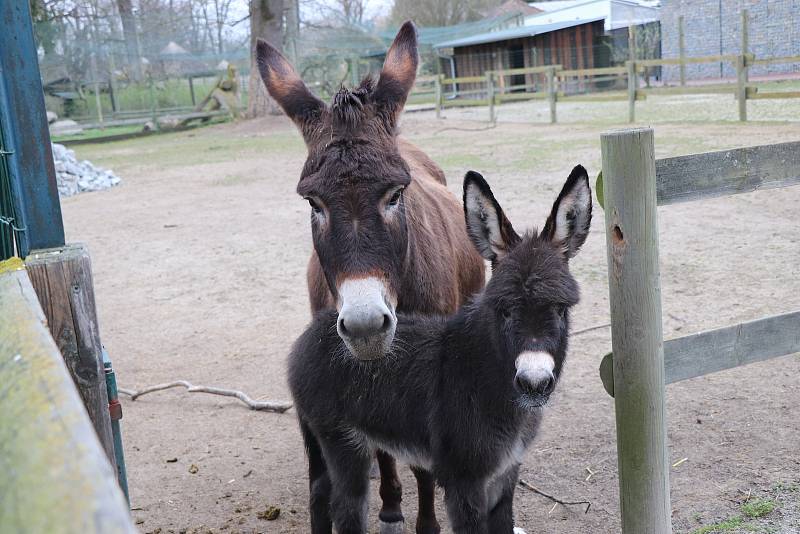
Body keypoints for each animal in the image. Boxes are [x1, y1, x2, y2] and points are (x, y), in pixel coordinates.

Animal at [290, 165, 592, 532]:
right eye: (504, 311)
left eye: (561, 309)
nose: (534, 383)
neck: (485, 376)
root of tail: (314, 330)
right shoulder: (464, 483)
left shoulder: (505, 474)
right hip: (343, 445)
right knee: (347, 509)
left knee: (319, 494)